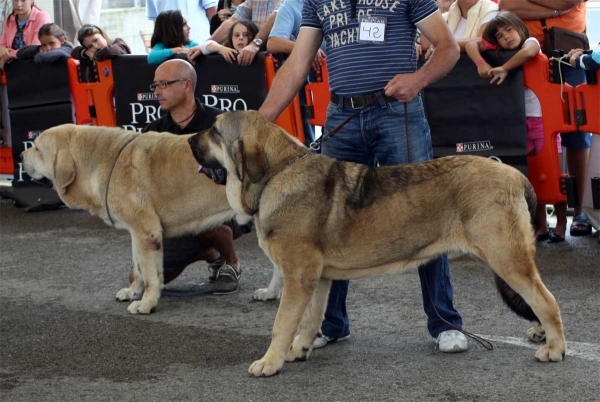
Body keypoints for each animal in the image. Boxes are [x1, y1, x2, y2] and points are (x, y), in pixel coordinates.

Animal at [23, 124, 239, 316]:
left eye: (37, 149)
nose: (21, 156)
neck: (101, 161)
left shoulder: (146, 232)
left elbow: (150, 275)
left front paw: (146, 303)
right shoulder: (137, 234)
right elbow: (138, 268)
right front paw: (134, 292)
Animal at [189, 110, 568, 376]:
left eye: (215, 131)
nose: (190, 139)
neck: (277, 172)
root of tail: (514, 174)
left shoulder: (298, 278)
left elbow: (281, 324)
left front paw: (269, 363)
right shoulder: (317, 280)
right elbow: (309, 320)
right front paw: (299, 350)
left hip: (507, 259)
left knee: (546, 300)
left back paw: (555, 349)